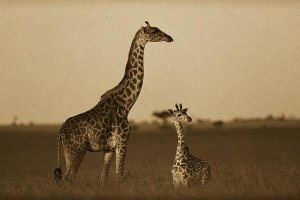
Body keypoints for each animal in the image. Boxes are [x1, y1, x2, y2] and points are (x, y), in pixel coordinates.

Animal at [54, 21, 173, 184]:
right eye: (154, 31)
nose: (170, 38)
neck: (126, 103)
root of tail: (60, 132)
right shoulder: (122, 141)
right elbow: (119, 175)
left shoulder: (109, 148)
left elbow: (103, 178)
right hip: (76, 151)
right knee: (68, 178)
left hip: (68, 153)